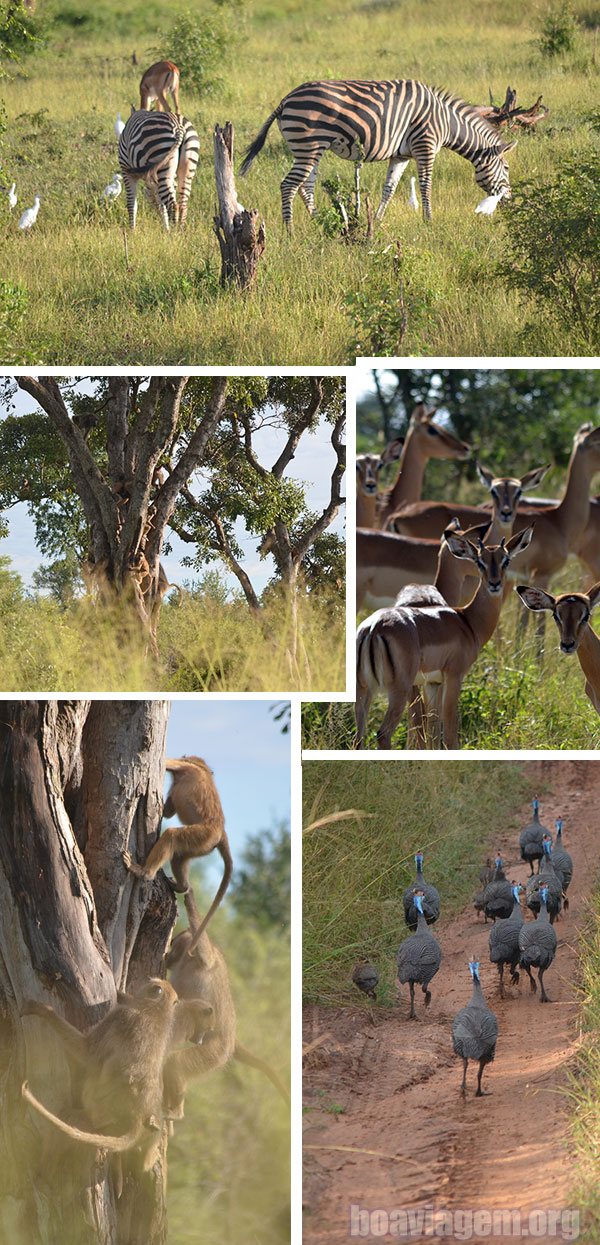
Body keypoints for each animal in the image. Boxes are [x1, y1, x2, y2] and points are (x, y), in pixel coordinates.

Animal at [241, 80, 517, 229]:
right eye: (506, 169)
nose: (510, 200)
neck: (446, 122)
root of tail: (285, 99)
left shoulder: (401, 155)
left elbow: (390, 188)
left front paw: (378, 220)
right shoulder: (425, 145)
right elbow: (426, 185)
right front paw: (429, 221)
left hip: (310, 149)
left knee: (305, 187)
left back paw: (318, 223)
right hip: (308, 144)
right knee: (289, 185)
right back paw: (289, 231)